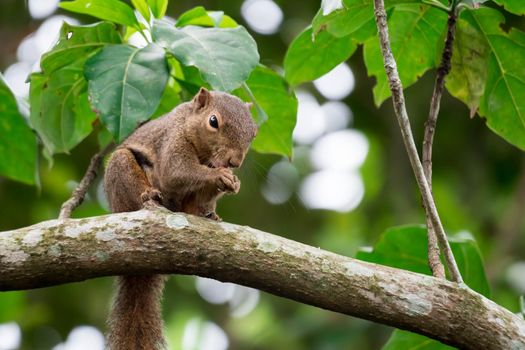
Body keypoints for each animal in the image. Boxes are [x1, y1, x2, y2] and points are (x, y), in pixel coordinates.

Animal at [103, 88, 258, 350]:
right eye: (213, 121)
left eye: (254, 132)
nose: (235, 162)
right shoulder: (171, 140)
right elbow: (176, 171)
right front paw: (218, 175)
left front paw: (231, 182)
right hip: (121, 171)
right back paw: (149, 196)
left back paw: (207, 214)